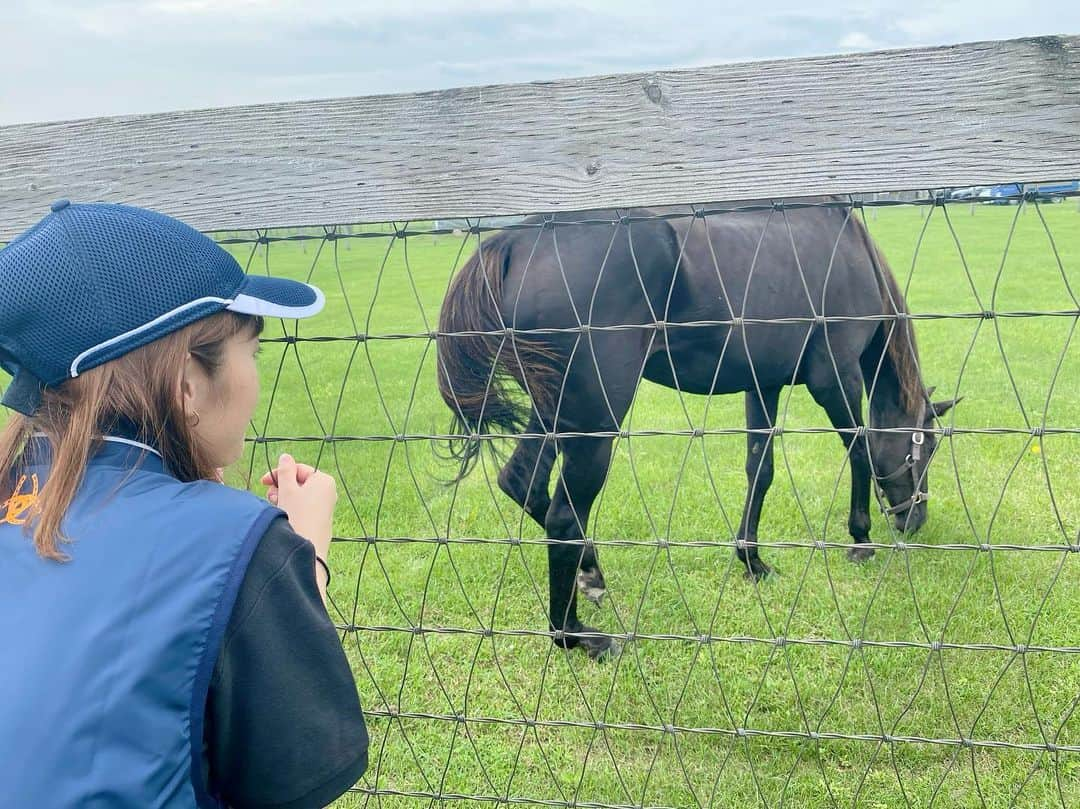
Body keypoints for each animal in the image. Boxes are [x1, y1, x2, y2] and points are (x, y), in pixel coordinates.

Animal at [434, 201, 959, 656]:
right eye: (927, 446)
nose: (915, 519)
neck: (849, 251)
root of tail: (519, 240)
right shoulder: (836, 378)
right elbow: (859, 452)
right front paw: (860, 538)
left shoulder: (763, 385)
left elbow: (760, 470)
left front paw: (752, 559)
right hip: (593, 423)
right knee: (563, 516)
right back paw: (576, 634)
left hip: (555, 412)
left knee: (522, 482)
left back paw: (591, 572)